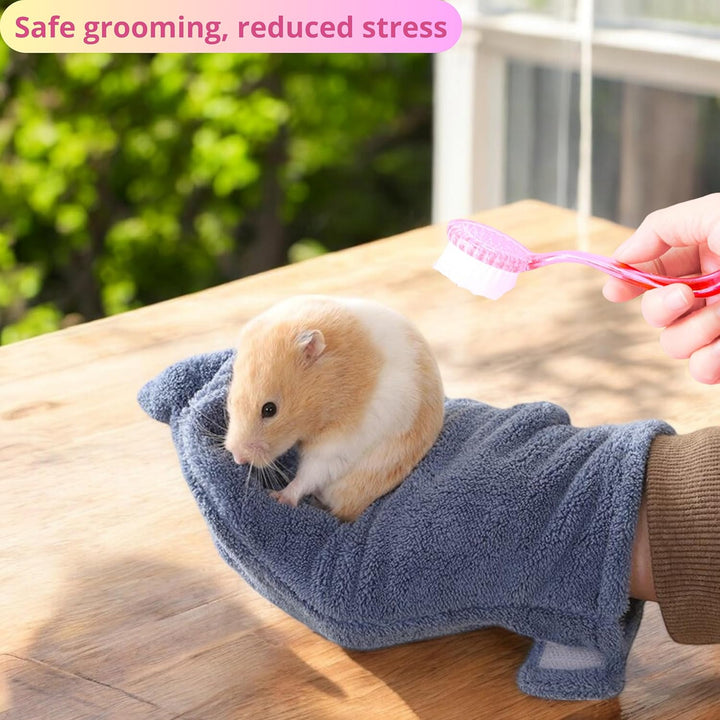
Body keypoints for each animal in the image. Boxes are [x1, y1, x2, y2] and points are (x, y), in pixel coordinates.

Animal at [224, 295, 445, 521]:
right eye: (230, 399)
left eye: (269, 410)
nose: (238, 458)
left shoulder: (340, 446)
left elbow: (309, 474)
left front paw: (278, 497)